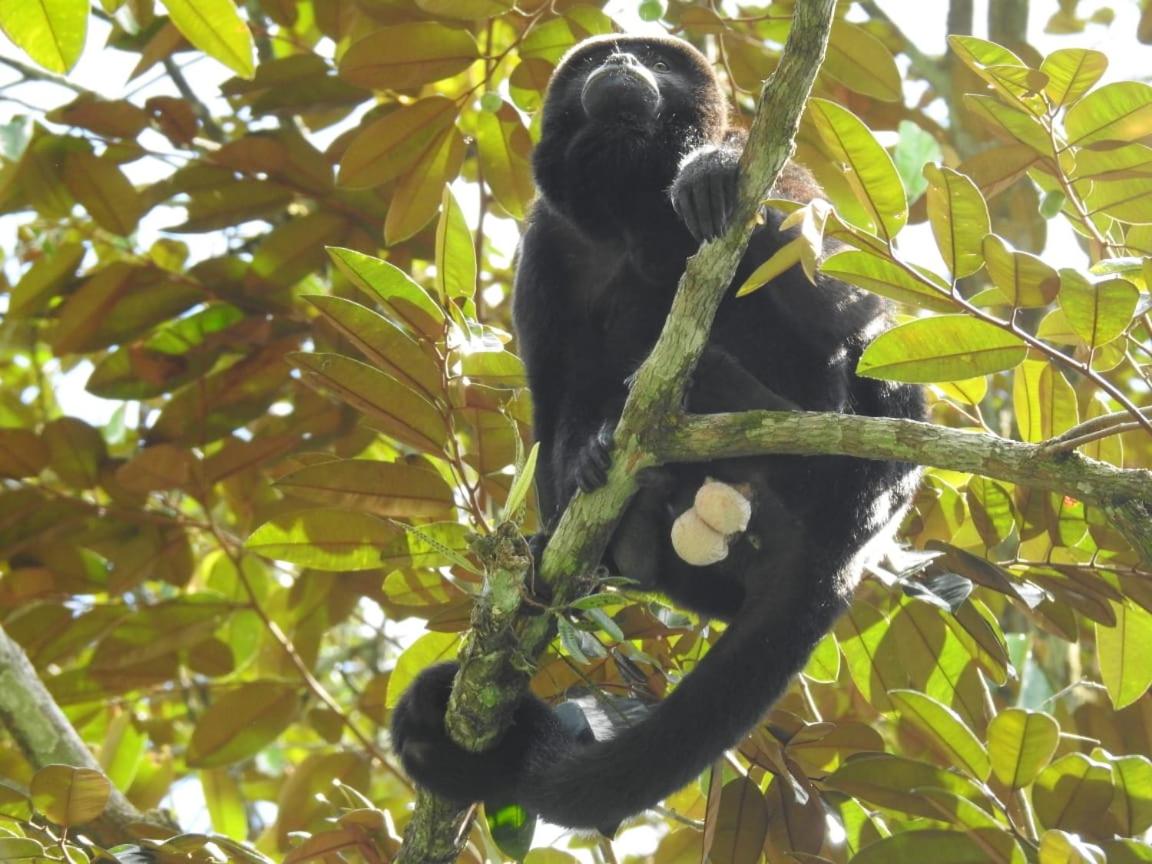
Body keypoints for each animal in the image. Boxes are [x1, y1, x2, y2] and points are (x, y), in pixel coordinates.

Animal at [391, 32, 921, 834]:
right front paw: (561, 511)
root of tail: (845, 555)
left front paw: (712, 173)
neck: (630, 202)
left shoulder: (785, 174)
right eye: (594, 61)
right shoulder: (545, 244)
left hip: (868, 473)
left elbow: (855, 307)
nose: (621, 63)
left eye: (655, 60)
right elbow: (553, 396)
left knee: (872, 376)